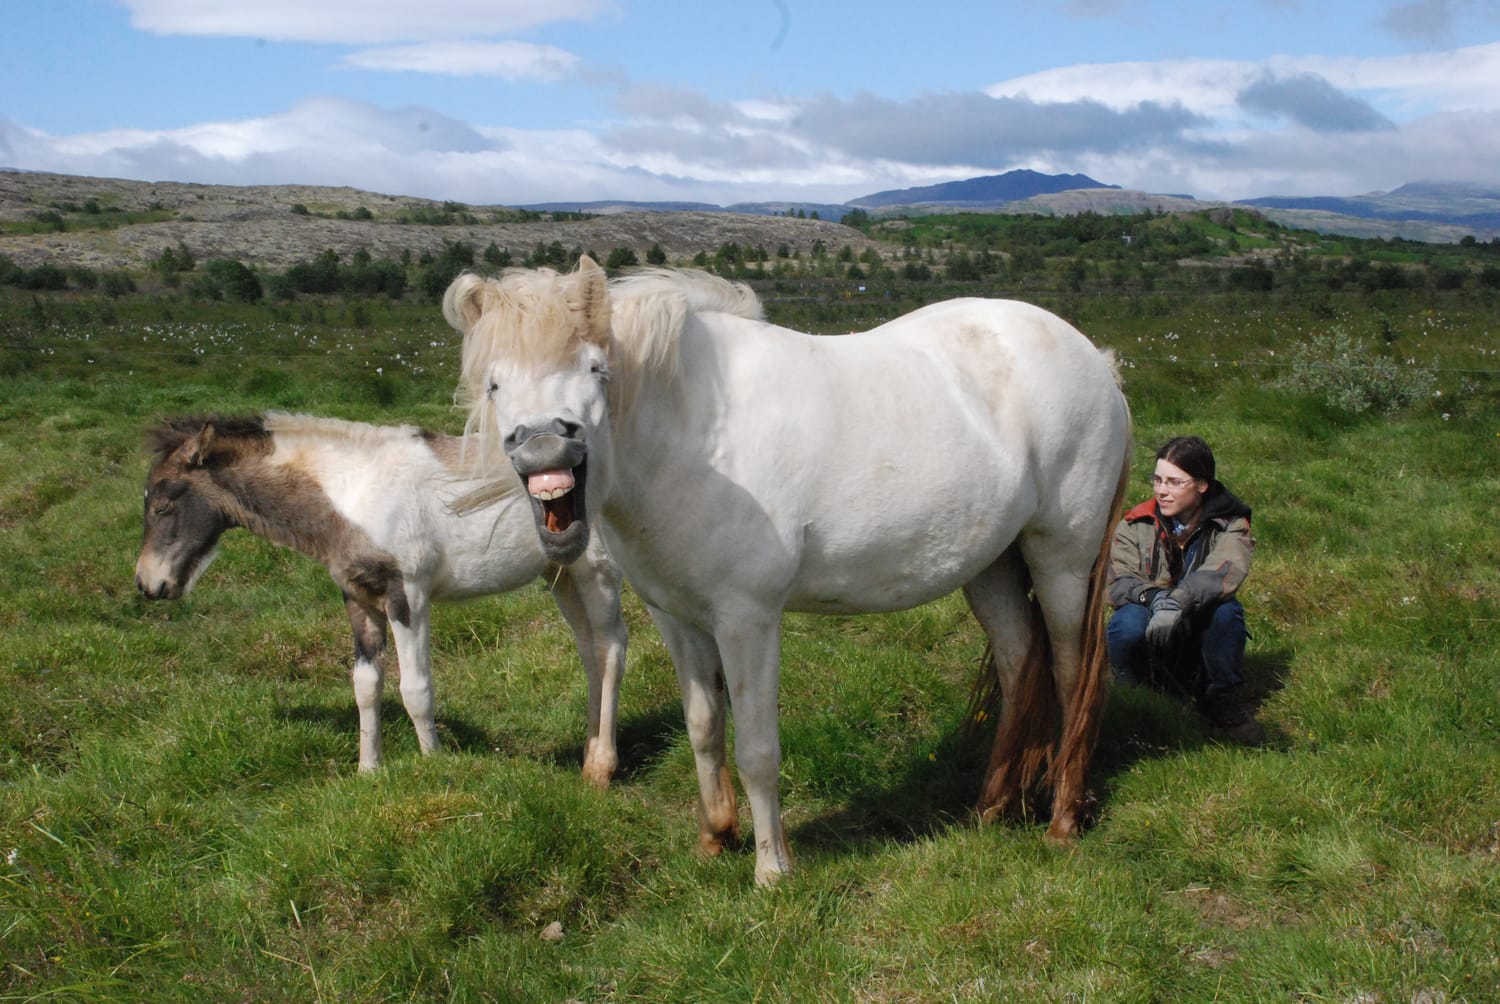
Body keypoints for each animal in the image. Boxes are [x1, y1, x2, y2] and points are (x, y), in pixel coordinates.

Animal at [134, 412, 628, 783]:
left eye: (163, 505)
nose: (147, 584)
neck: (355, 490)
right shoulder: (359, 599)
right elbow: (366, 686)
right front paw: (368, 770)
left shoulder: (407, 596)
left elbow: (415, 688)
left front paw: (434, 765)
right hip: (561, 575)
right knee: (589, 651)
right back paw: (587, 757)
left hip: (597, 570)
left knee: (611, 648)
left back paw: (601, 769)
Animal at [446, 258, 1131, 884]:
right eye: (494, 384)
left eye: (595, 367)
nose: (544, 447)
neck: (694, 429)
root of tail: (1095, 359)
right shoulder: (676, 618)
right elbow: (703, 728)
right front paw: (715, 839)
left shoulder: (748, 619)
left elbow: (755, 747)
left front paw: (771, 870)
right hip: (990, 565)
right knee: (1020, 664)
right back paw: (990, 810)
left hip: (1061, 559)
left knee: (1071, 671)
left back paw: (1062, 823)